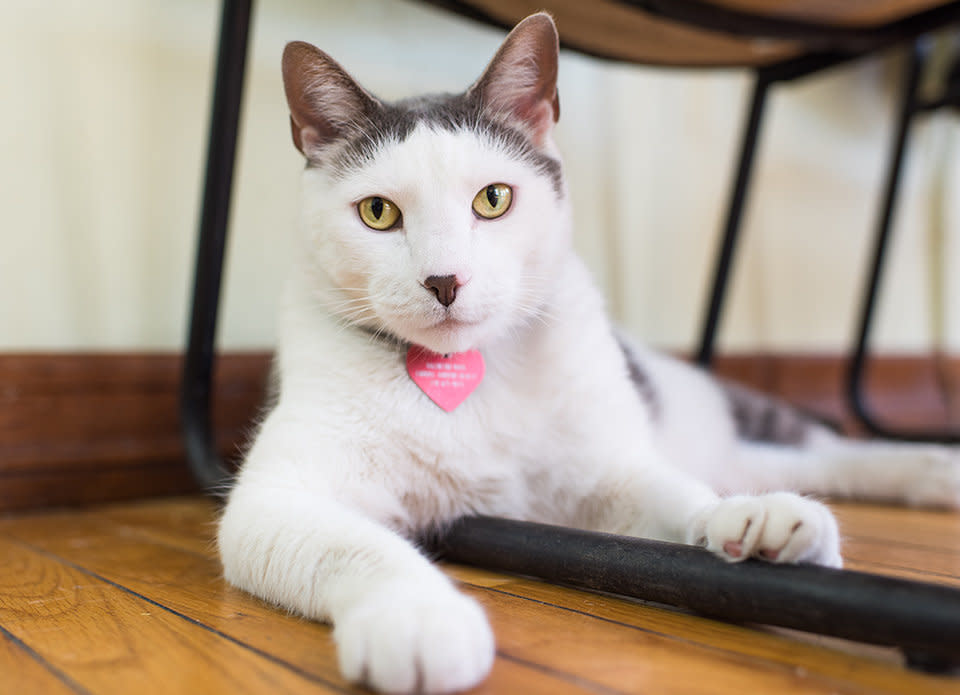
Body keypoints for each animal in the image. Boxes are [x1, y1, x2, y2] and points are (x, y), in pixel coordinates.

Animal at [218, 12, 960, 695]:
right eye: (377, 213)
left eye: (493, 199)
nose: (444, 279)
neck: (472, 371)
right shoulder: (277, 499)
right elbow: (359, 548)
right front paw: (418, 617)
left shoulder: (611, 473)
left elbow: (678, 497)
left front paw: (748, 523)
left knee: (828, 448)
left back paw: (921, 472)